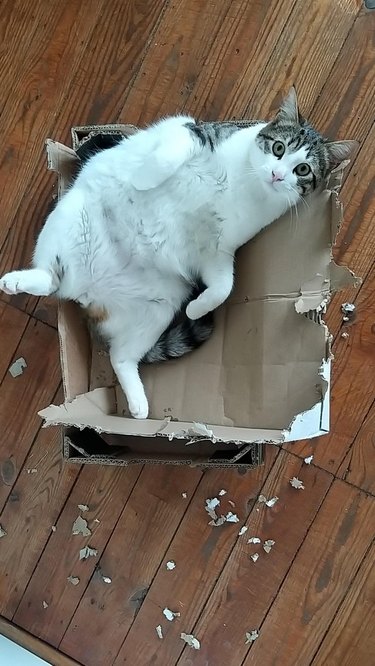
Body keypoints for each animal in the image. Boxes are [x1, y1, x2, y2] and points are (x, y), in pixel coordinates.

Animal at [0, 87, 356, 416]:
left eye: (303, 170)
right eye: (279, 148)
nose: (277, 175)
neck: (246, 187)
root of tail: (85, 294)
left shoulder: (217, 251)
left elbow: (224, 287)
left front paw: (197, 309)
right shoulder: (188, 130)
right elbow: (170, 154)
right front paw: (143, 179)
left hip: (158, 309)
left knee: (120, 356)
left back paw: (139, 405)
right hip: (69, 217)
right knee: (50, 276)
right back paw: (17, 281)